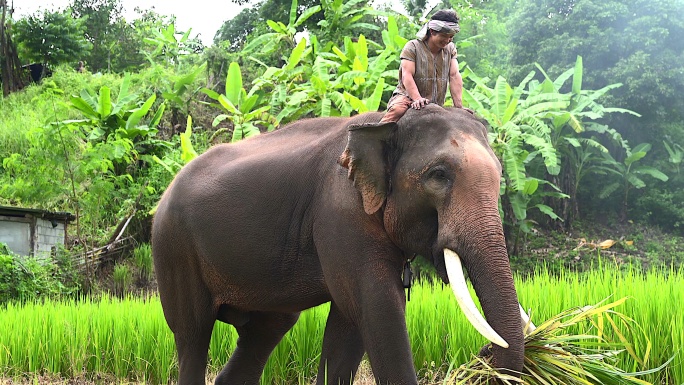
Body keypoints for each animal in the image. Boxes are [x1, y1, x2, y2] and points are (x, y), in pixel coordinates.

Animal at [154, 105, 528, 384]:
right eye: (439, 175)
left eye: (501, 175)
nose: (482, 355)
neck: (385, 124)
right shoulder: (341, 212)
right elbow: (375, 308)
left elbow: (348, 326)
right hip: (174, 248)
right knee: (193, 333)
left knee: (268, 327)